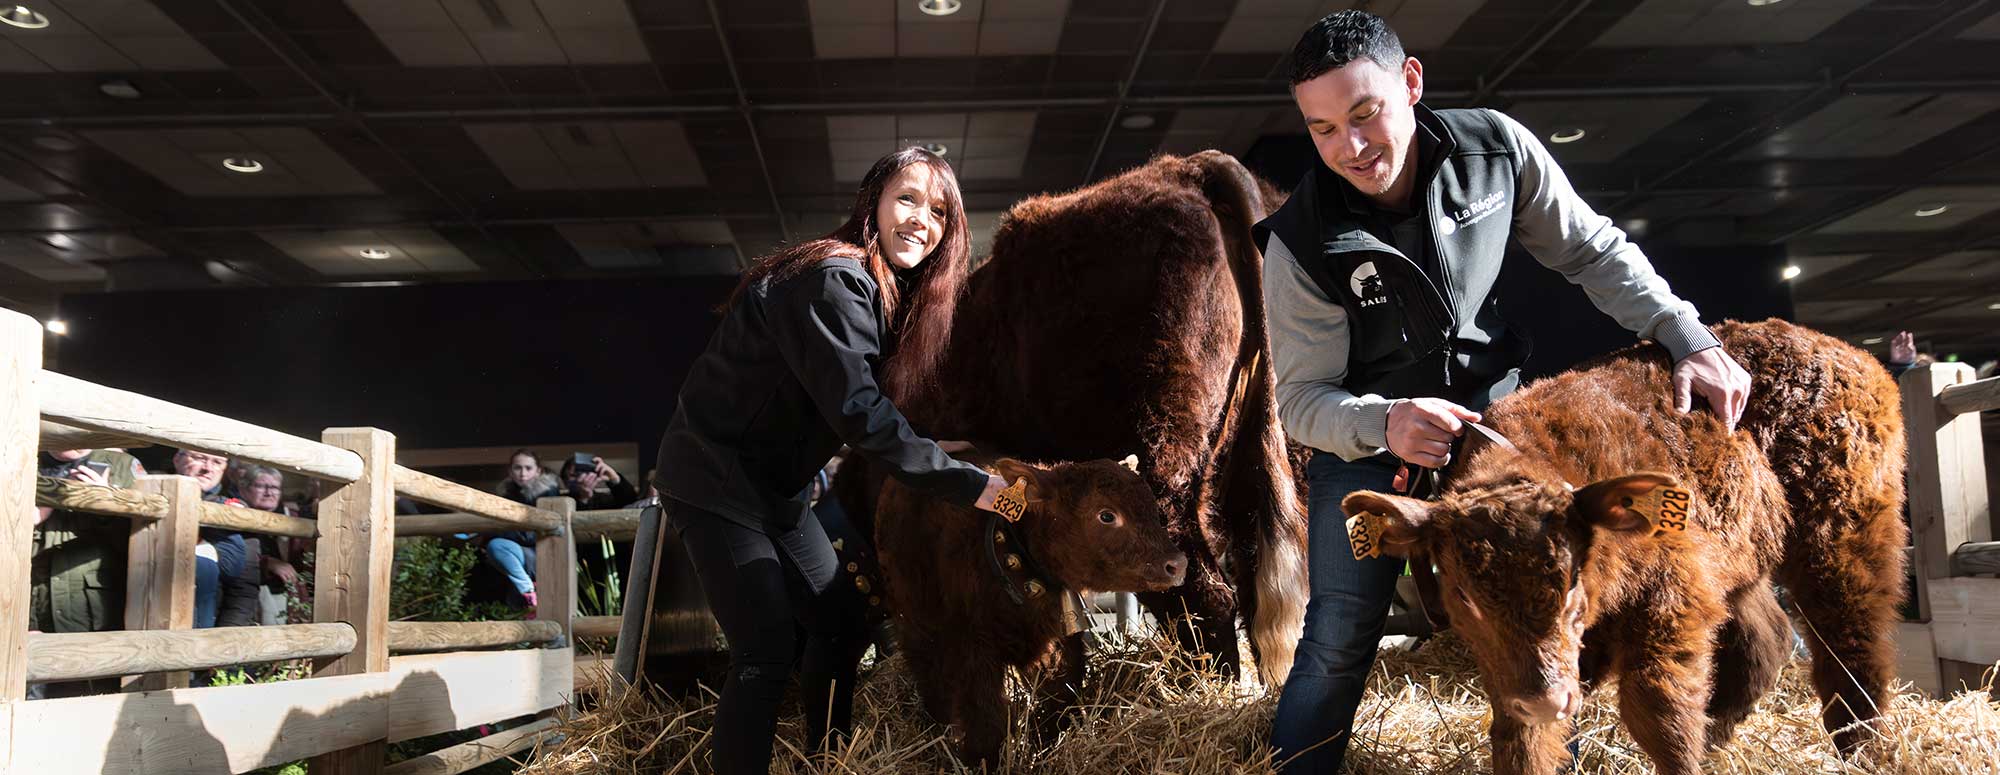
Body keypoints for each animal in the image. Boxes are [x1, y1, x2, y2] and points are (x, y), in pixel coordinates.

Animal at [876, 453, 1184, 763]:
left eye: (1152, 508)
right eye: (1107, 515)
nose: (1177, 564)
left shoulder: (1060, 643)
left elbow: (1061, 699)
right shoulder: (972, 649)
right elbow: (985, 718)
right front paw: (981, 761)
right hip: (916, 624)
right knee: (931, 681)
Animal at [1344, 319, 1904, 775]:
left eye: (1573, 581)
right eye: (1462, 595)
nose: (1547, 698)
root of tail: (1844, 350)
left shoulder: (1672, 603)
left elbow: (1658, 711)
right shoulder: (1519, 669)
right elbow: (1523, 739)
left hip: (1843, 535)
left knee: (1853, 644)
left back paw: (1862, 750)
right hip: (1740, 561)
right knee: (1768, 639)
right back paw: (1718, 740)